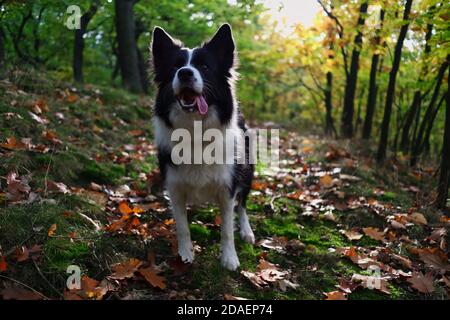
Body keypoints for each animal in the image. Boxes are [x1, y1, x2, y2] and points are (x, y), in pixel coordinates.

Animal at [151, 24, 255, 270]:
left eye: (205, 67)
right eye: (175, 67)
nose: (185, 73)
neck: (195, 131)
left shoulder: (227, 186)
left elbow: (227, 229)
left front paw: (229, 258)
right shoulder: (174, 186)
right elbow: (182, 226)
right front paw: (185, 255)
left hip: (247, 172)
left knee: (243, 204)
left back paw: (247, 231)